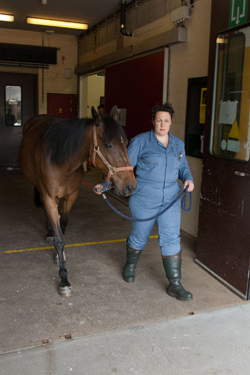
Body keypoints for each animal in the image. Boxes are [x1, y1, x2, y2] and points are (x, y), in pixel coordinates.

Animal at [18, 107, 137, 298]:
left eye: (125, 142)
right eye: (108, 145)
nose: (129, 187)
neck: (62, 162)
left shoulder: (71, 196)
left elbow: (63, 227)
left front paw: (59, 255)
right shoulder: (50, 197)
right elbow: (59, 238)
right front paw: (64, 280)